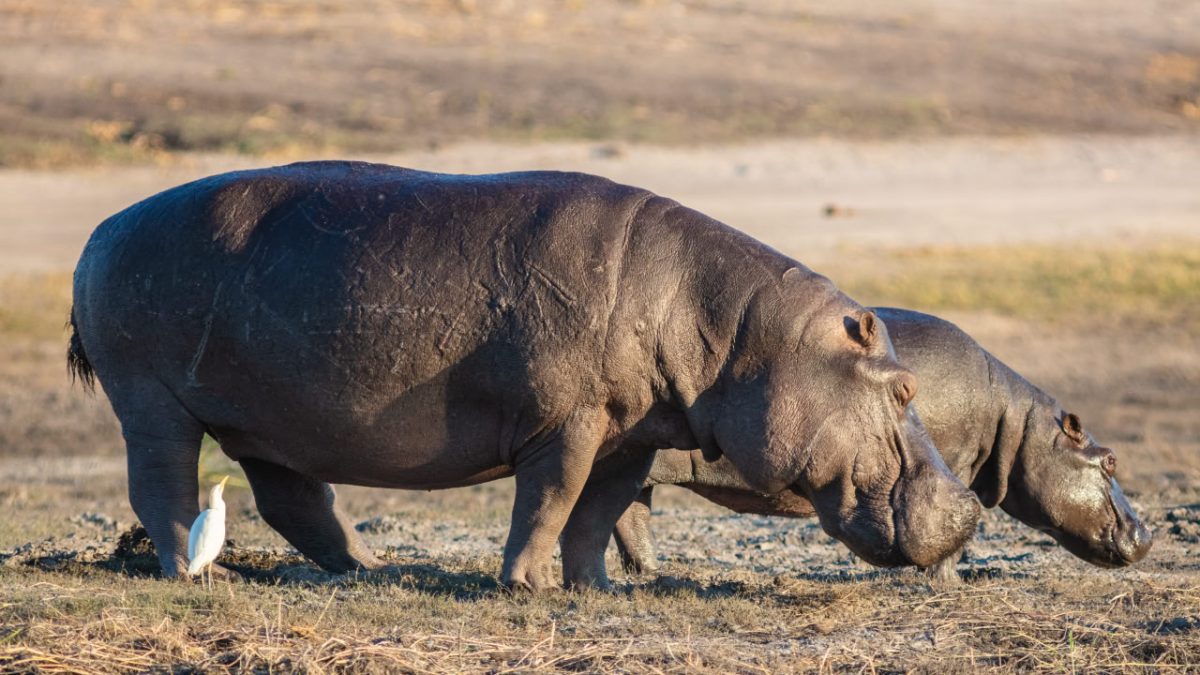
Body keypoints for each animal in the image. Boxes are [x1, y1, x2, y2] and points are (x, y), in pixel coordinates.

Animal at [65, 159, 979, 586]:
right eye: (903, 387)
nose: (971, 508)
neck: (736, 329)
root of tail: (98, 230)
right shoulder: (568, 420)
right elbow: (550, 497)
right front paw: (527, 586)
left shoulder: (631, 431)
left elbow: (596, 511)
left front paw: (594, 589)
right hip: (151, 400)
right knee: (162, 486)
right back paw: (195, 571)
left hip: (268, 421)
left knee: (296, 499)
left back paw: (371, 567)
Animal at [609, 307, 1152, 576]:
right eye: (1109, 460)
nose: (1146, 534)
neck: (1017, 423)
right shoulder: (953, 468)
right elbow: (953, 529)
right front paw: (946, 581)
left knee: (629, 517)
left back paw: (651, 575)